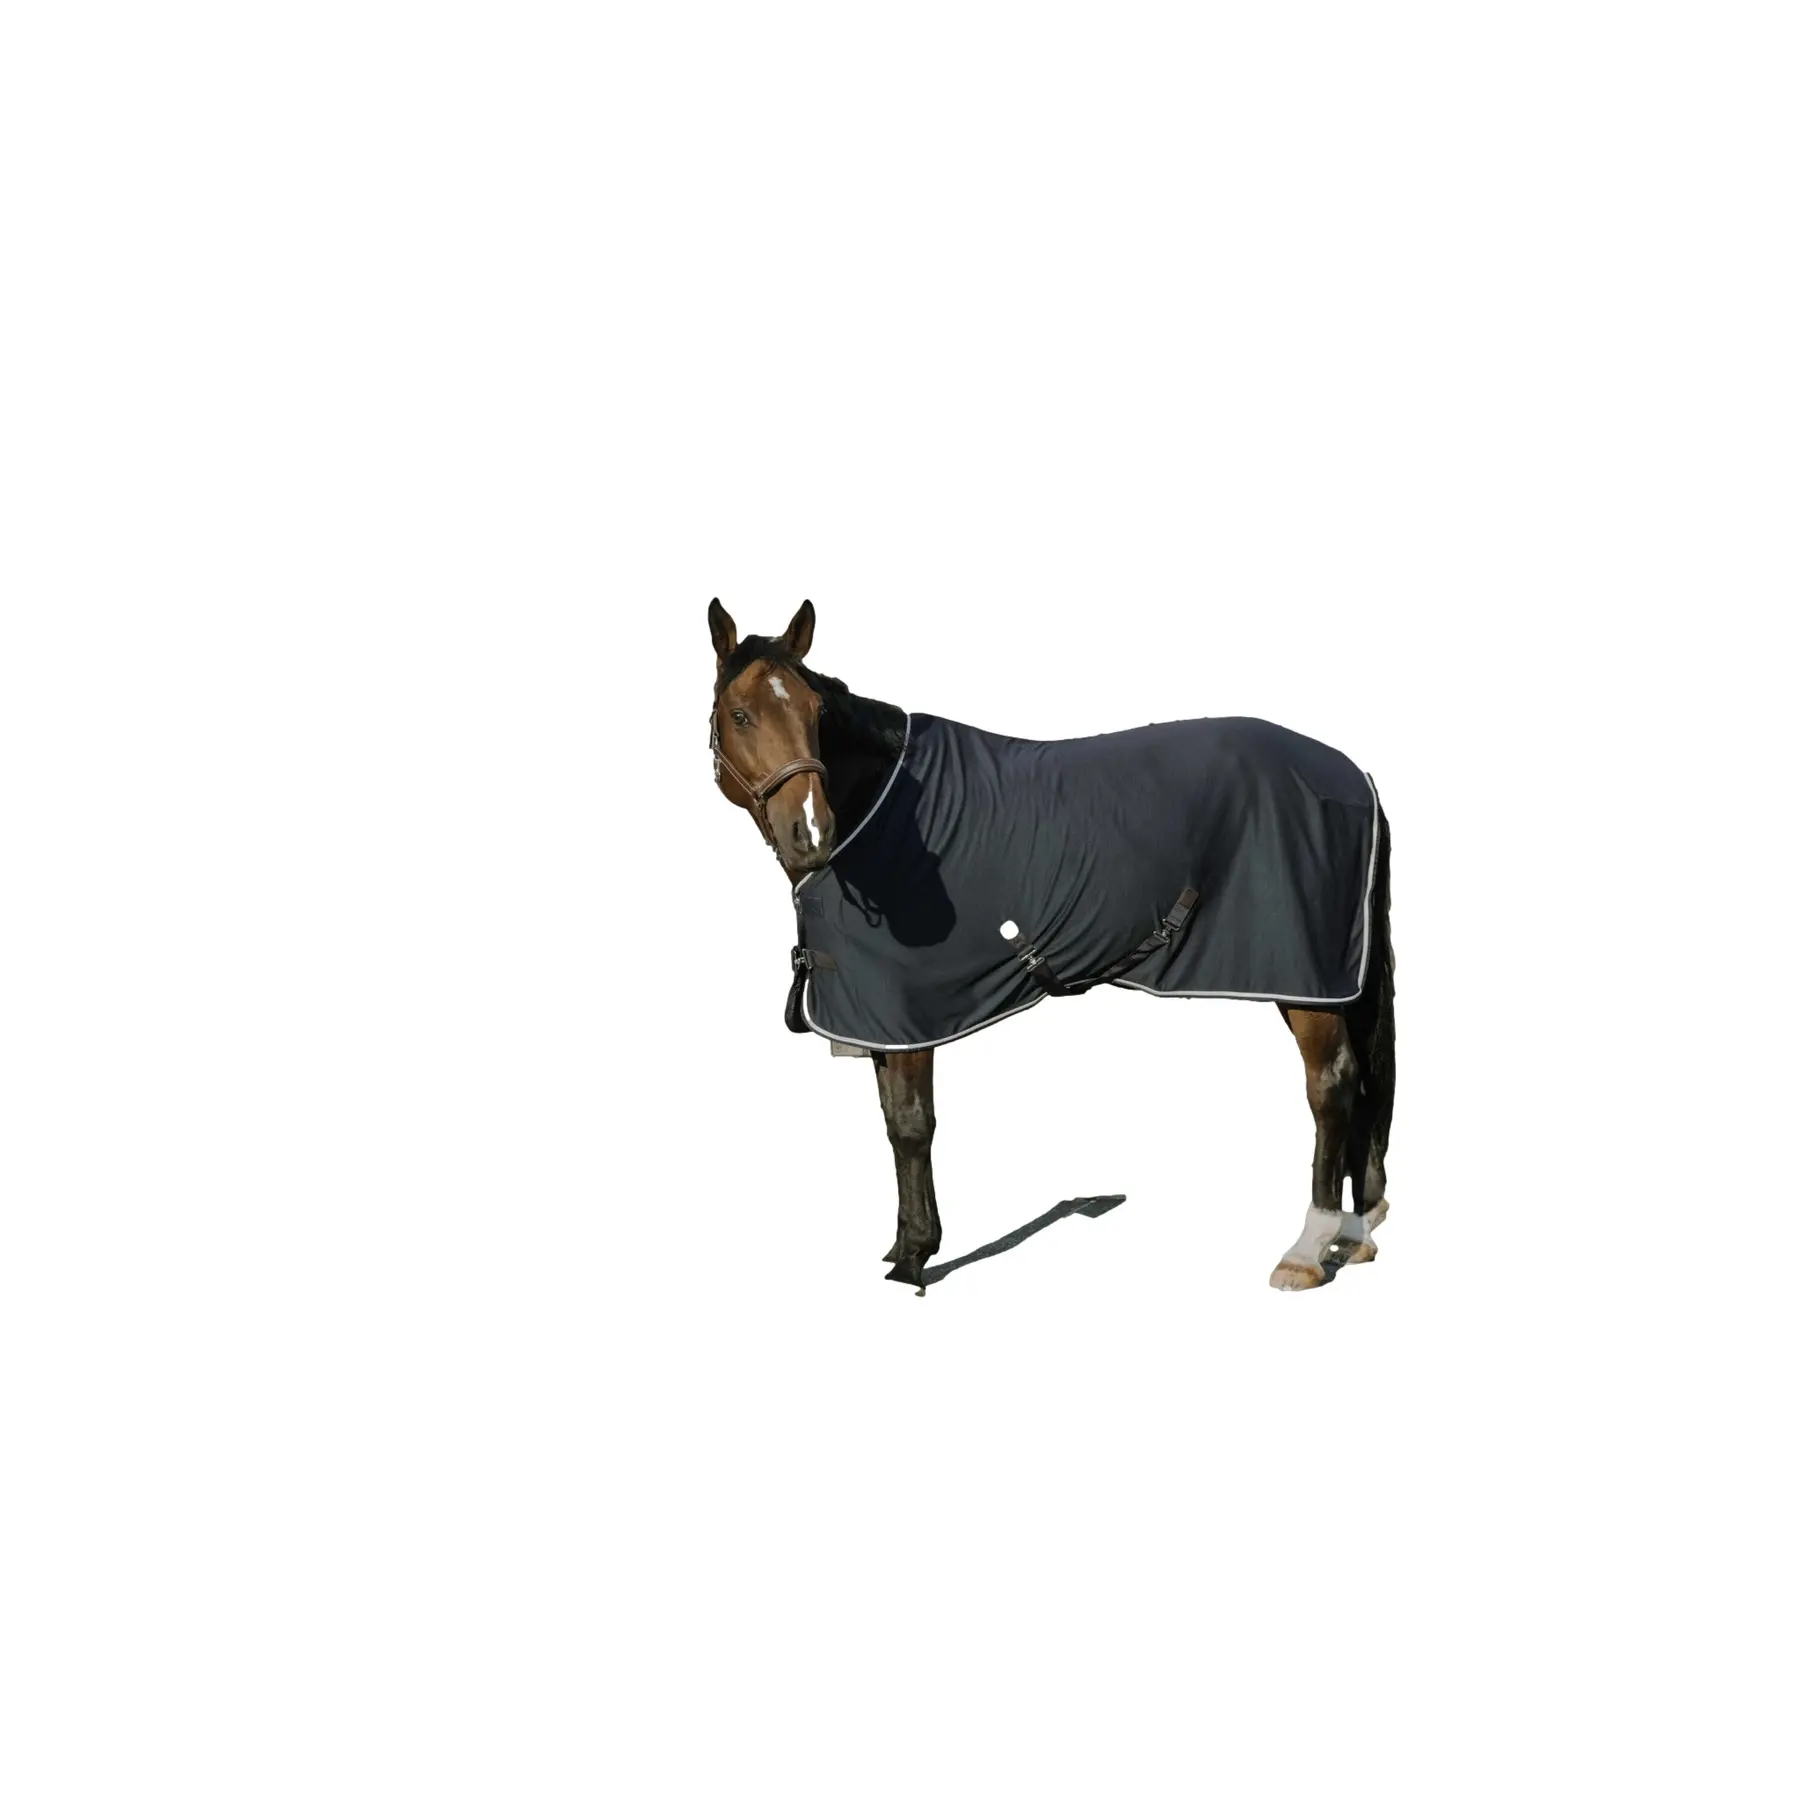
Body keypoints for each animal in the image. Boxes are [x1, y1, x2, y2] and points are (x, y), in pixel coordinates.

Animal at [706, 597, 1396, 1293]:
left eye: (815, 713)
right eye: (740, 714)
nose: (810, 831)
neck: (883, 810)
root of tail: (1353, 776)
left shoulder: (908, 1010)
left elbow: (910, 1124)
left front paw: (915, 1259)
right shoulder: (880, 1018)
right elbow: (891, 1119)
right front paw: (903, 1244)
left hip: (1307, 976)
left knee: (1331, 1085)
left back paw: (1306, 1250)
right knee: (1366, 1084)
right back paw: (1355, 1234)